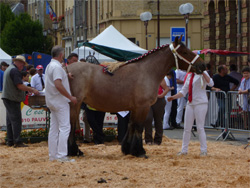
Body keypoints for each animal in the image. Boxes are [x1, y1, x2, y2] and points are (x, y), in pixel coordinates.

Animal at [66, 36, 205, 157]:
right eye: (185, 52)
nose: (202, 65)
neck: (147, 71)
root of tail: (66, 70)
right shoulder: (143, 107)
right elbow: (139, 127)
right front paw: (140, 151)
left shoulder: (134, 108)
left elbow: (131, 126)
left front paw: (128, 149)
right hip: (74, 104)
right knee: (71, 125)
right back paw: (74, 151)